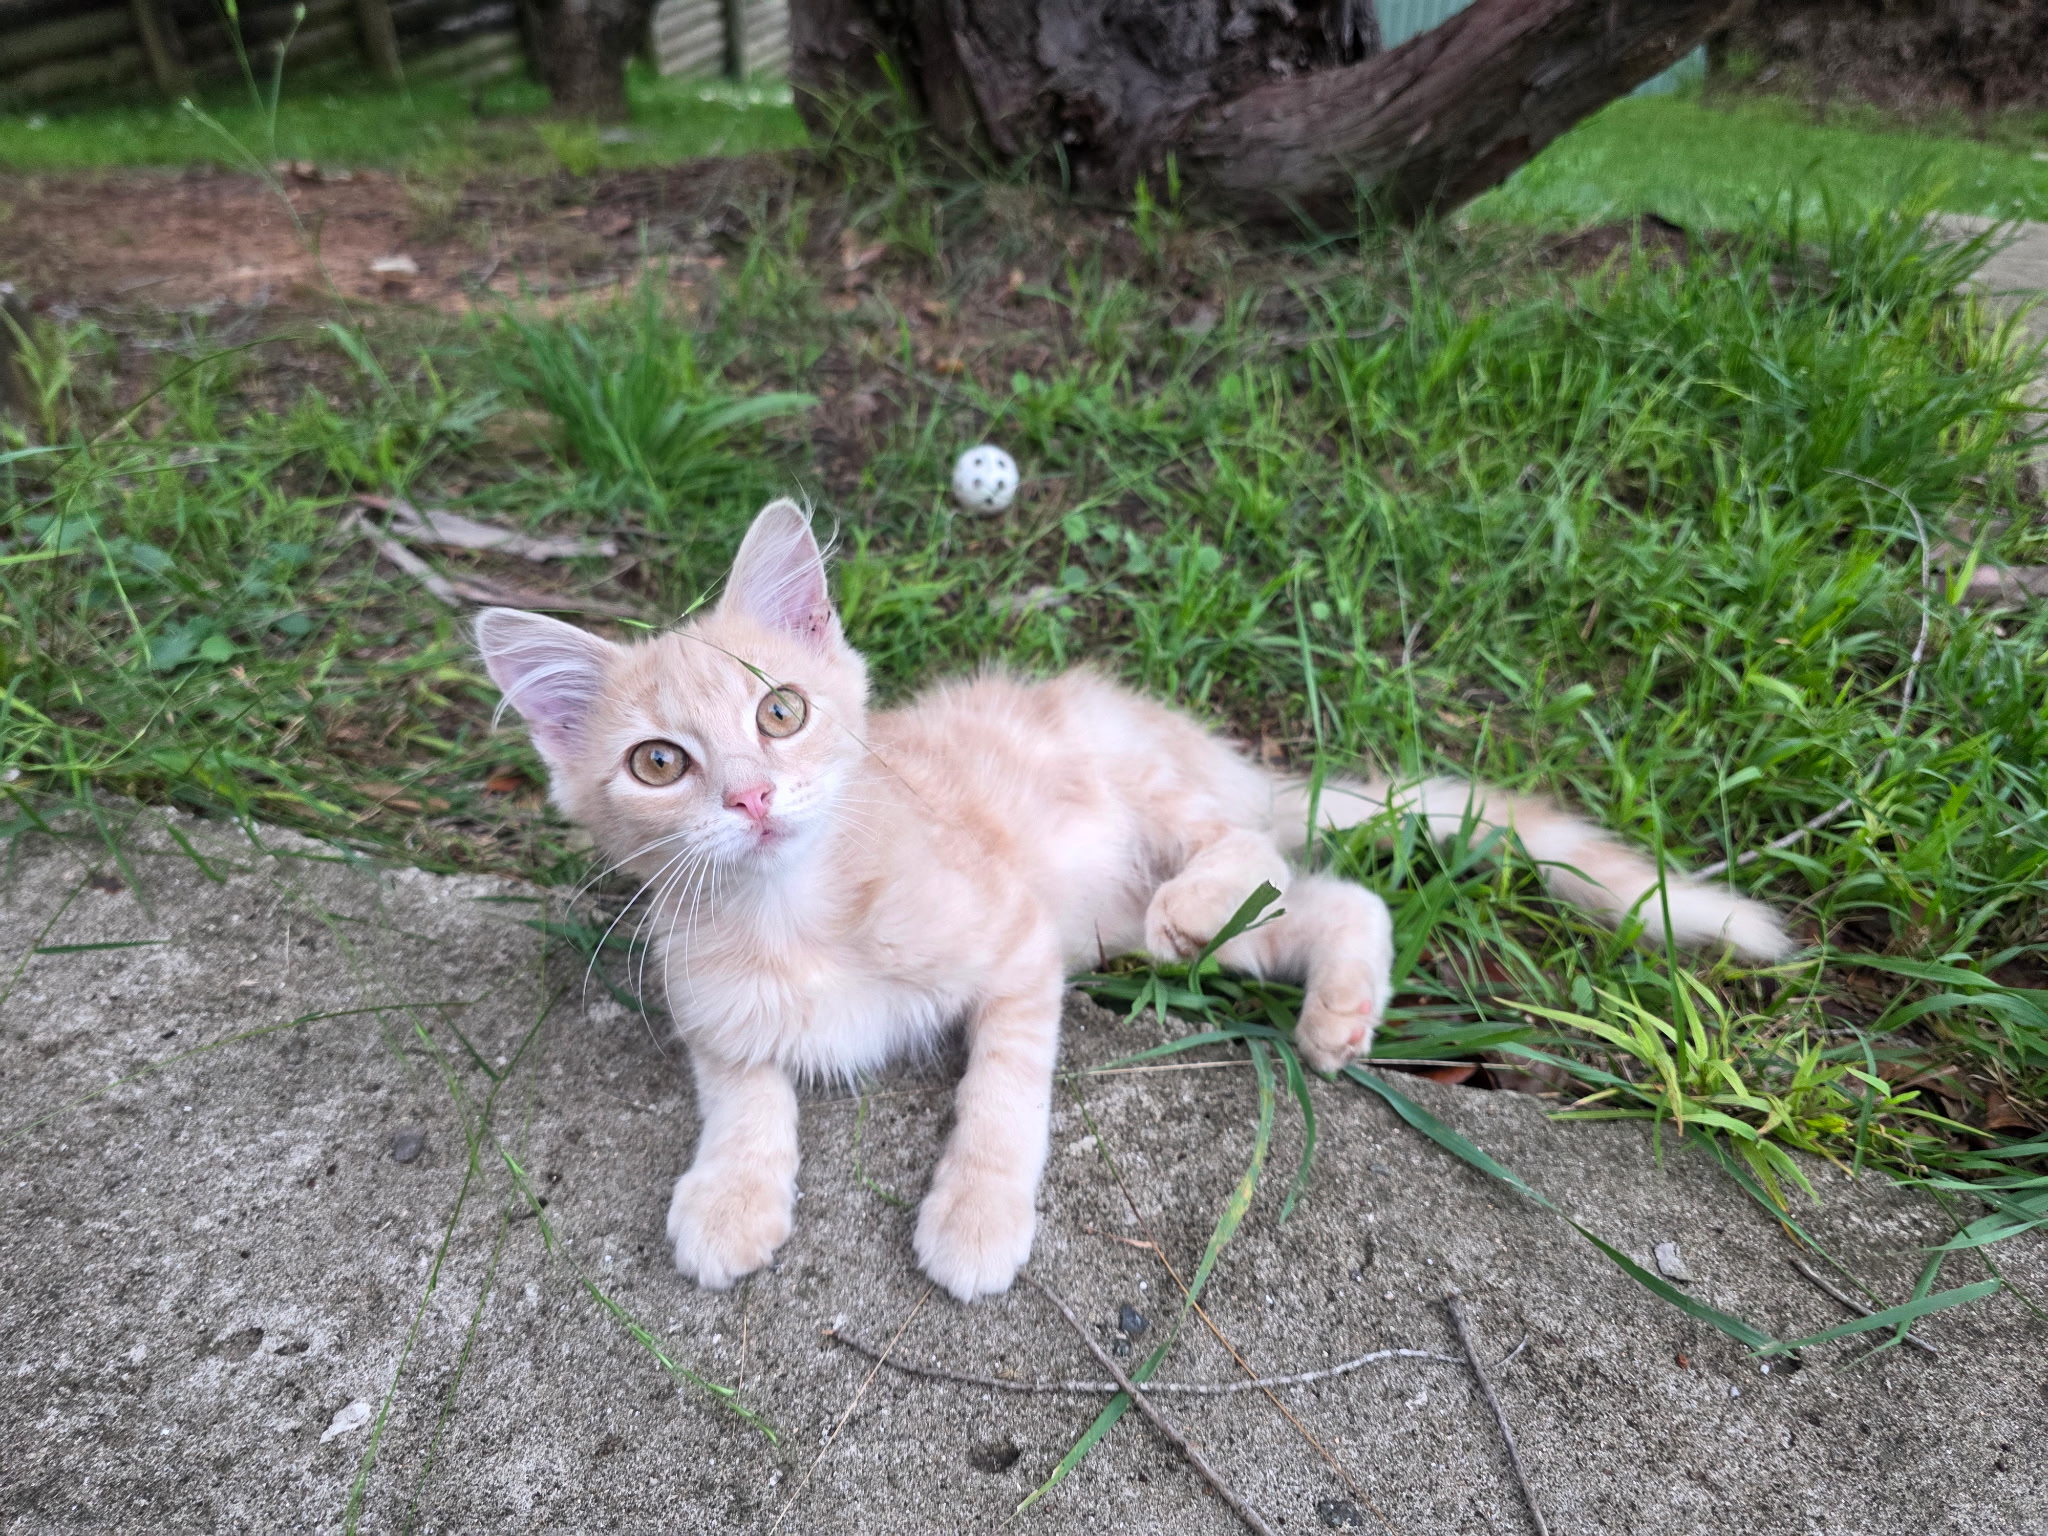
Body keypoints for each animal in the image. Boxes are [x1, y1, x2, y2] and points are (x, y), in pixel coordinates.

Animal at [476, 499, 1791, 1303]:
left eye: (781, 712)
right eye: (659, 764)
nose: (751, 798)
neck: (792, 910)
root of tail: (1217, 754)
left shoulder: (1018, 949)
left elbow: (1002, 1093)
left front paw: (976, 1215)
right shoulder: (707, 1001)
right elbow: (740, 1086)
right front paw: (732, 1193)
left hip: (1145, 807)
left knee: (1241, 854)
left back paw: (1217, 902)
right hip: (1152, 931)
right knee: (1336, 897)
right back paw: (1337, 1011)